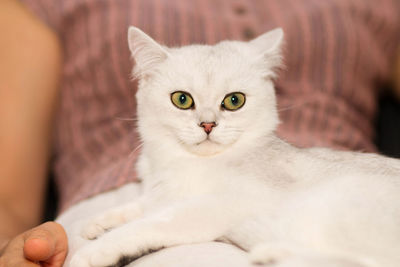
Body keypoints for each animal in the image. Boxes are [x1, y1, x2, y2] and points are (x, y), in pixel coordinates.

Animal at [61, 27, 400, 267]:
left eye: (234, 101)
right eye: (181, 99)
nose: (208, 125)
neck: (189, 164)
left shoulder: (217, 206)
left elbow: (153, 221)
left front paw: (96, 250)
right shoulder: (165, 194)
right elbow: (142, 205)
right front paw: (99, 222)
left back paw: (274, 253)